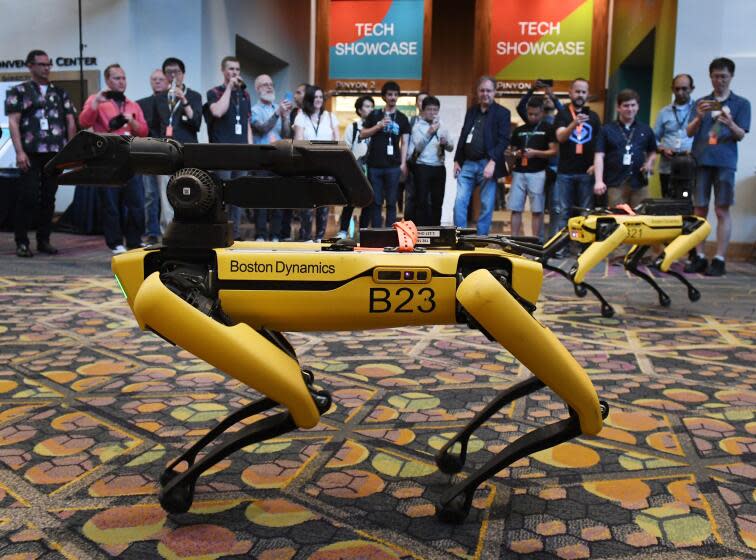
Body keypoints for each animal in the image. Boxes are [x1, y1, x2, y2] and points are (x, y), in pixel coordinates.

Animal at [47, 131, 608, 520]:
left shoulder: (486, 290)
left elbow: (302, 400)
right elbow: (304, 396)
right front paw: (180, 477)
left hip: (490, 295)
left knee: (582, 406)